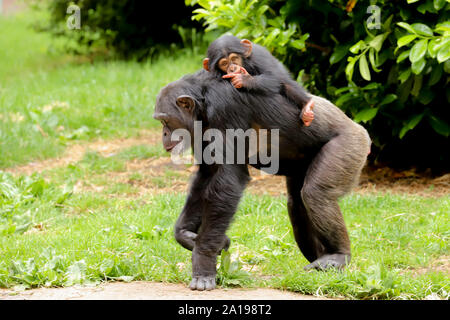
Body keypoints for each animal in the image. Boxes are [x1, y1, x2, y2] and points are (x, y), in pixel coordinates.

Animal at [153, 71, 370, 292]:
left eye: (165, 121)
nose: (164, 133)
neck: (204, 103)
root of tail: (359, 129)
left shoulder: (226, 108)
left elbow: (228, 181)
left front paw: (203, 263)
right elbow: (207, 174)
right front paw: (186, 235)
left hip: (348, 146)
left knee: (316, 194)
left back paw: (338, 255)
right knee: (297, 204)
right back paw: (320, 264)